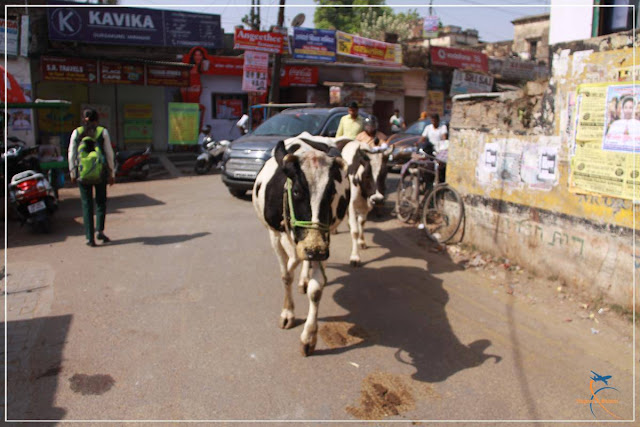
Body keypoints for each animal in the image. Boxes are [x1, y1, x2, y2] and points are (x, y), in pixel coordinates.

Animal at [251, 138, 350, 358]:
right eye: (296, 191)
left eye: (331, 192)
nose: (315, 250)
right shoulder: (274, 234)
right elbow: (286, 275)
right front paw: (288, 313)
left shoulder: (323, 239)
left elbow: (316, 289)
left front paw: (309, 337)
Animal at [340, 140, 396, 268]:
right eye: (367, 175)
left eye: (384, 174)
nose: (378, 200)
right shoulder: (351, 205)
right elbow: (355, 231)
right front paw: (355, 257)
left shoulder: (366, 205)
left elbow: (362, 222)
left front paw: (361, 242)